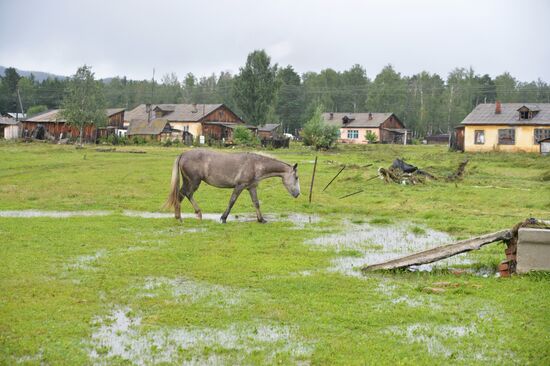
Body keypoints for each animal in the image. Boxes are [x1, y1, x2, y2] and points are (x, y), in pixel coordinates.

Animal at [164, 149, 302, 223]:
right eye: (296, 177)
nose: (298, 194)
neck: (255, 164)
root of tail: (183, 154)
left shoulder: (251, 187)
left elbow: (256, 203)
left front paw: (261, 219)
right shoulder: (239, 186)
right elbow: (232, 201)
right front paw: (223, 218)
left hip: (188, 181)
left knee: (181, 194)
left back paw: (181, 217)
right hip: (193, 182)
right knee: (186, 194)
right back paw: (194, 214)